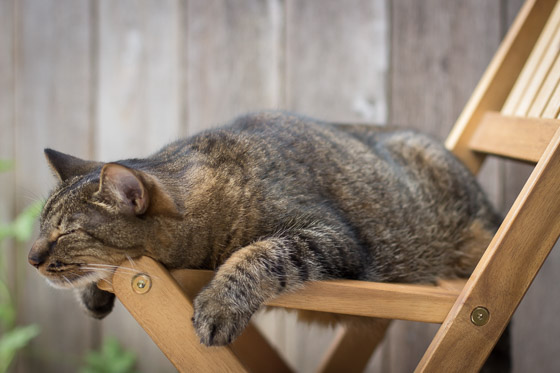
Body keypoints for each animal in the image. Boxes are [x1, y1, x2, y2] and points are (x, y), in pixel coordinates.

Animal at [28, 109, 500, 346]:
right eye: (41, 228)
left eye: (66, 233)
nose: (31, 257)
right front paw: (94, 292)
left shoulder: (331, 237)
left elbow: (258, 253)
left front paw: (219, 305)